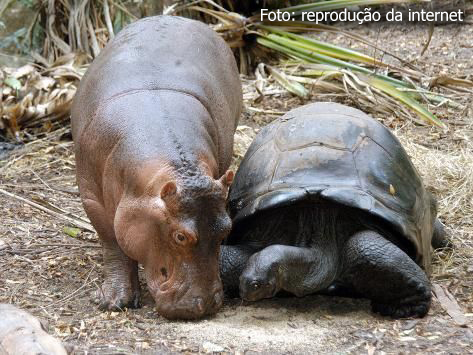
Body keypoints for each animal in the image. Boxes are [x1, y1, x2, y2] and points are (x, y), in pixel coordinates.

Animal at [72, 16, 242, 322]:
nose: (205, 303)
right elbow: (112, 243)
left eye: (226, 229)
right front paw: (113, 302)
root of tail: (174, 16)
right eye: (180, 236)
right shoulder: (92, 199)